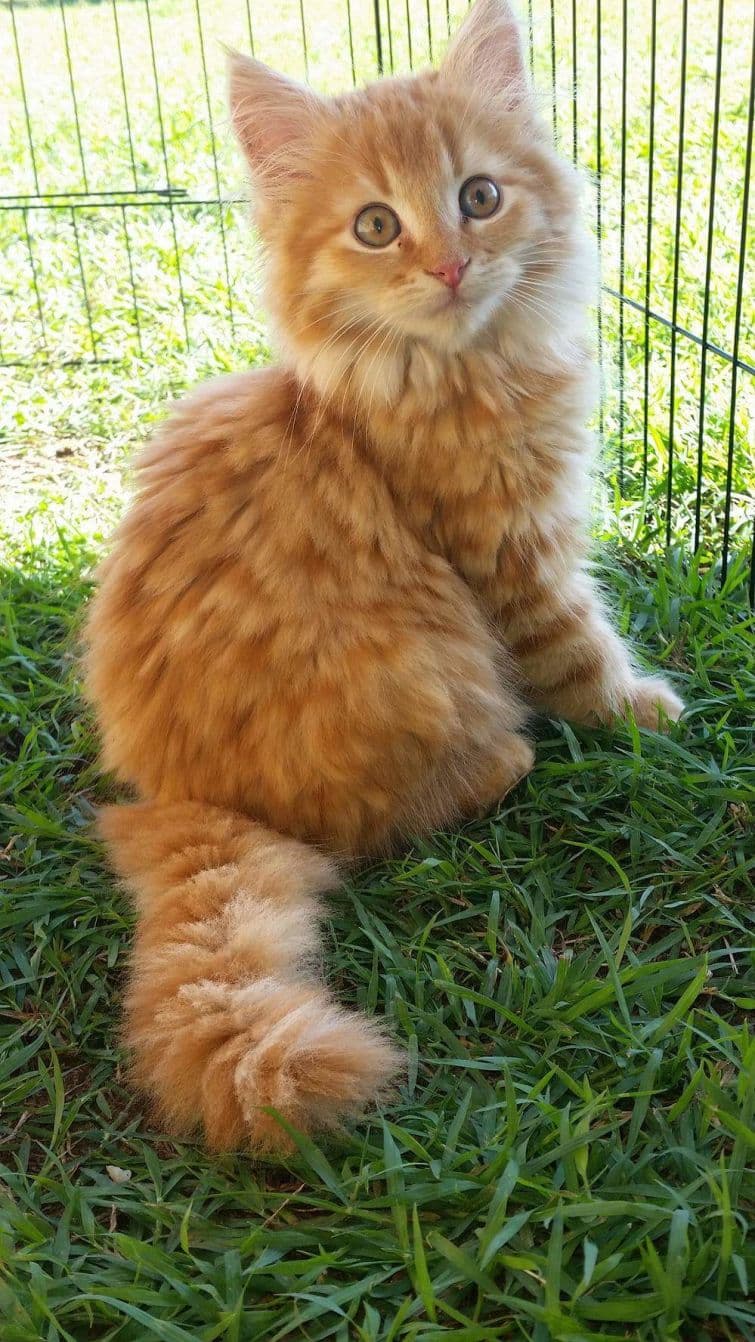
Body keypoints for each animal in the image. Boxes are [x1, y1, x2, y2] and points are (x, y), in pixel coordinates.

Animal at [84, 0, 686, 1154]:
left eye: (478, 198)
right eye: (374, 225)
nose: (448, 265)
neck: (456, 366)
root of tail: (181, 790)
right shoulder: (512, 551)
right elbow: (580, 648)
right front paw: (640, 711)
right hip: (423, 676)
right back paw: (504, 760)